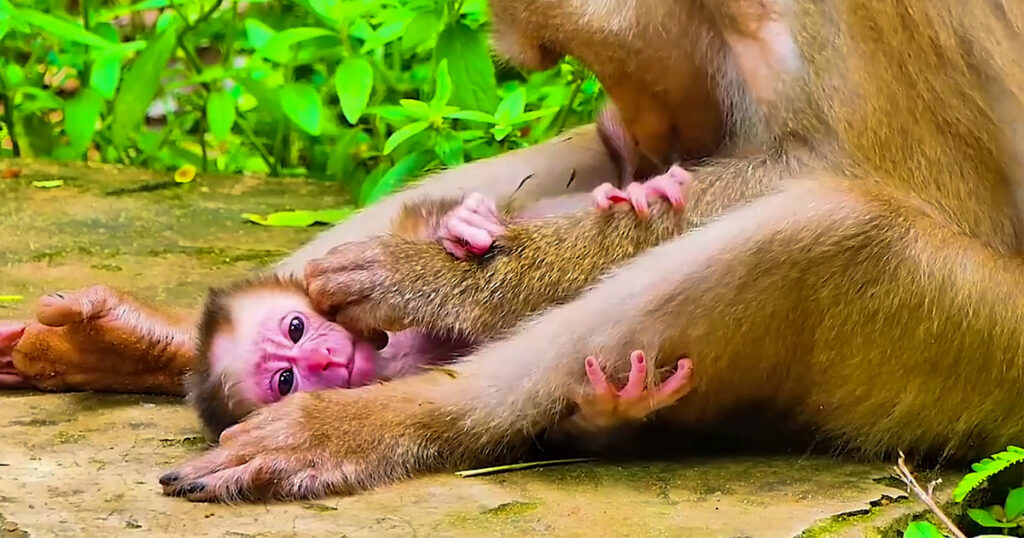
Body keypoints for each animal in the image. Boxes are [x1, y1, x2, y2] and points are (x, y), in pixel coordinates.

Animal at [154, 0, 1024, 504]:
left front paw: (435, 280)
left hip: (977, 356)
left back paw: (373, 428)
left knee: (834, 233)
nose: (630, 129)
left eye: (552, 48)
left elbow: (925, 186)